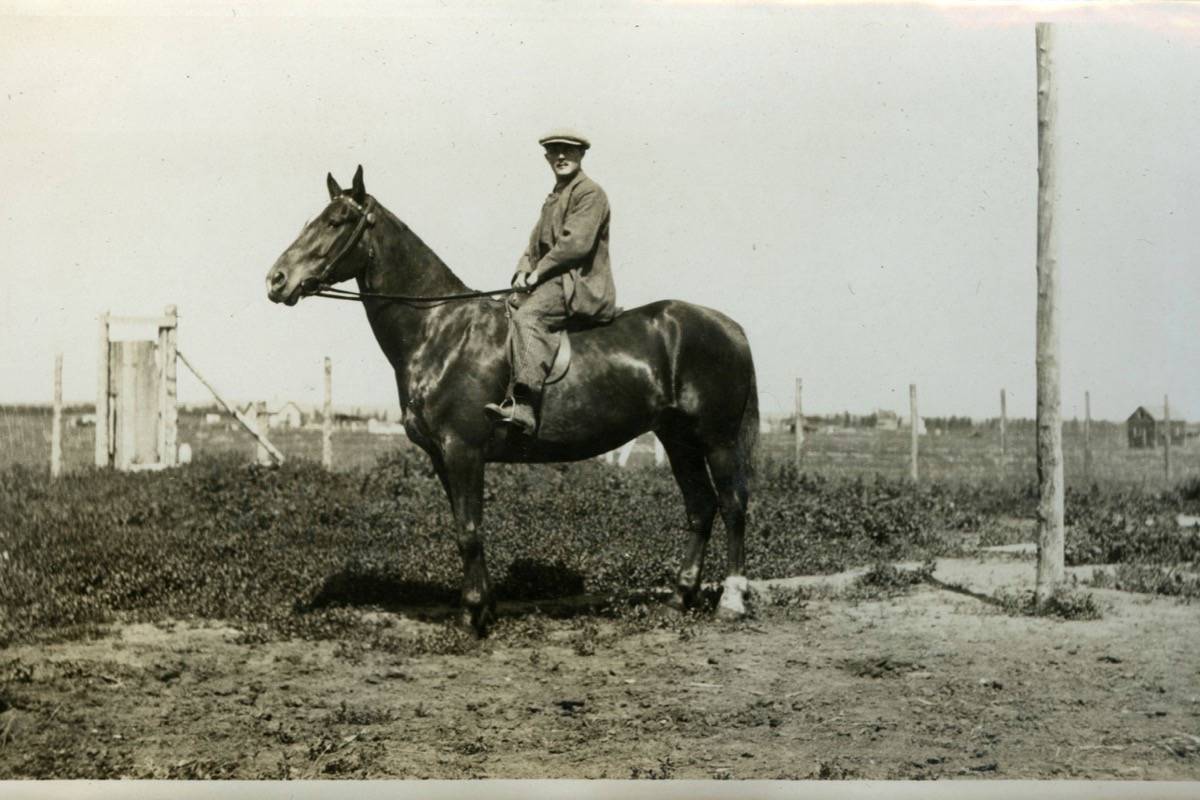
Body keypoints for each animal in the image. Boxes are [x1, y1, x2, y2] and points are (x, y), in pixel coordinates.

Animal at [265, 165, 758, 636]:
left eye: (336, 221)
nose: (276, 280)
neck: (441, 330)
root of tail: (729, 326)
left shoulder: (463, 450)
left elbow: (468, 530)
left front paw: (473, 615)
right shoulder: (443, 456)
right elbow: (466, 527)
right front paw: (484, 606)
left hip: (717, 439)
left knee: (733, 506)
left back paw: (731, 601)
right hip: (677, 439)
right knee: (701, 507)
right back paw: (680, 595)